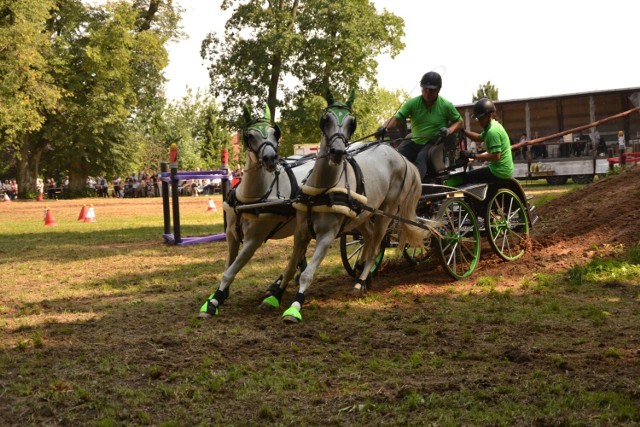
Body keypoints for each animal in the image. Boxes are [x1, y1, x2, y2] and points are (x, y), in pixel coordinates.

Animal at [198, 104, 312, 318]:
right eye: (250, 135)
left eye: (275, 133)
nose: (270, 158)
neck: (249, 200)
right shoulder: (231, 234)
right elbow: (228, 266)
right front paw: (220, 295)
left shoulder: (254, 240)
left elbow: (230, 271)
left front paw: (214, 302)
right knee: (300, 254)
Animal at [276, 91, 436, 324]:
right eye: (326, 118)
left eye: (352, 123)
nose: (337, 152)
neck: (323, 189)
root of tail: (402, 158)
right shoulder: (301, 231)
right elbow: (289, 267)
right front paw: (274, 294)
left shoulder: (327, 235)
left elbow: (306, 274)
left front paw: (294, 308)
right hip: (362, 214)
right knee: (368, 238)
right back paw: (362, 271)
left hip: (386, 212)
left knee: (376, 245)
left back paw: (360, 281)